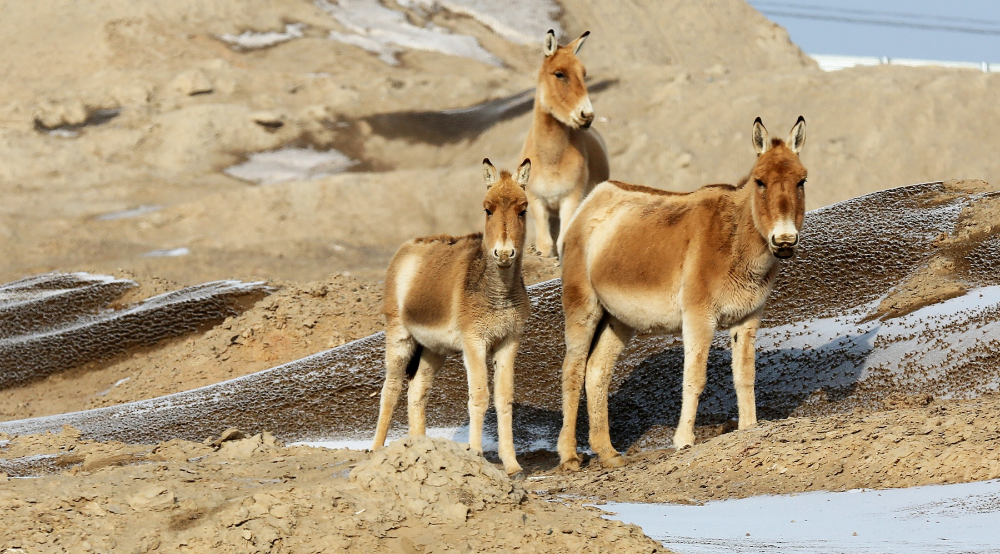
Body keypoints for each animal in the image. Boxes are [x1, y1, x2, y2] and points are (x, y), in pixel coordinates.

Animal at [374, 157, 532, 472]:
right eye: (487, 209)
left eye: (523, 210)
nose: (504, 254)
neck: (497, 293)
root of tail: (407, 246)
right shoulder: (474, 342)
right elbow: (479, 396)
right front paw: (477, 453)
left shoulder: (509, 342)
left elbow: (504, 398)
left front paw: (512, 465)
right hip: (399, 338)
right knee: (391, 390)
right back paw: (374, 451)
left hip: (433, 349)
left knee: (417, 392)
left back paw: (420, 448)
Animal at [520, 28, 612, 256]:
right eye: (559, 74)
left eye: (584, 74)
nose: (587, 115)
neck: (550, 159)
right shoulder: (537, 202)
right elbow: (545, 245)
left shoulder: (571, 199)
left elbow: (564, 241)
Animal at [560, 118, 808, 468]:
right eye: (760, 181)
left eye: (801, 181)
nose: (784, 241)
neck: (735, 238)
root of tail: (594, 197)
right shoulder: (698, 316)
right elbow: (694, 378)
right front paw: (683, 441)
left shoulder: (748, 317)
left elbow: (745, 375)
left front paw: (749, 427)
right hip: (583, 306)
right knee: (572, 370)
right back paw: (569, 456)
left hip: (618, 318)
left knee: (597, 370)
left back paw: (608, 454)